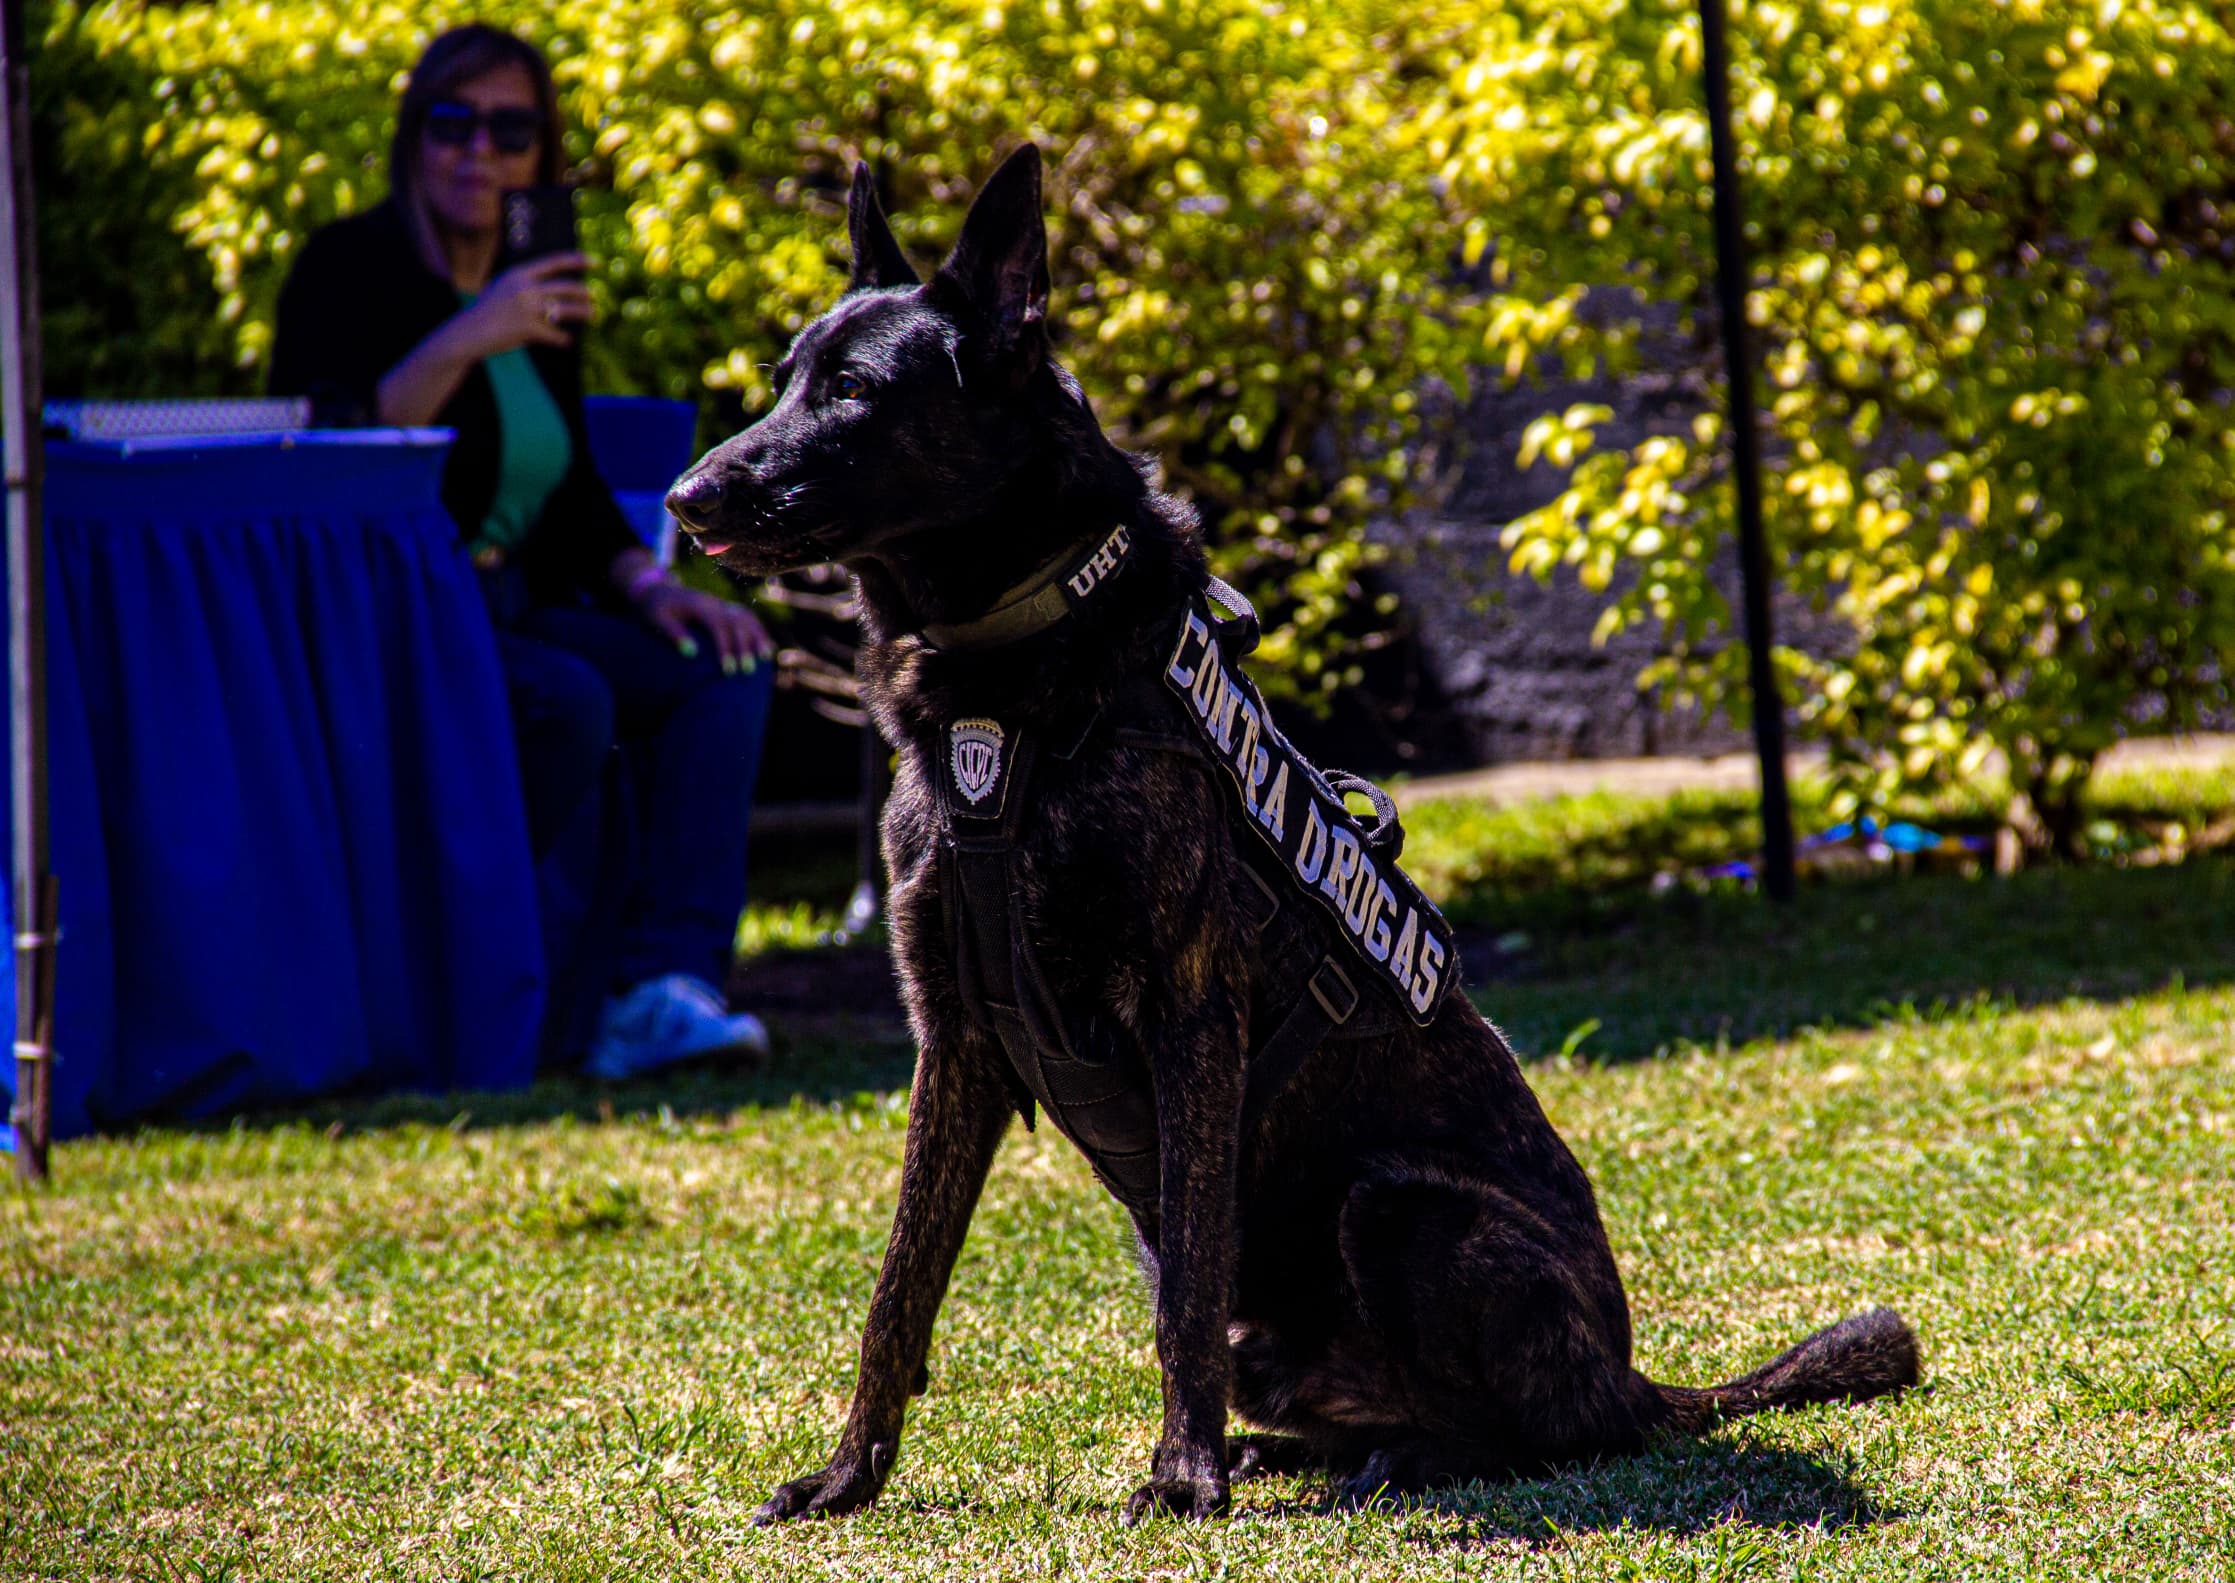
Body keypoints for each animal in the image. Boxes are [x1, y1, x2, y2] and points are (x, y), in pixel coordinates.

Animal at [667, 145, 1919, 1525]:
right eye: (782, 379)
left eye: (853, 391)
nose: (684, 493)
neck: (1012, 686)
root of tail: (1636, 1371)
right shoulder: (955, 1040)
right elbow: (899, 1292)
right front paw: (849, 1474)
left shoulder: (1188, 1015)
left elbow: (1183, 1297)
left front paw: (1183, 1475)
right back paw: (1305, 1451)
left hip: (1401, 1205)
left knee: (1530, 1431)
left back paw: (1396, 1461)